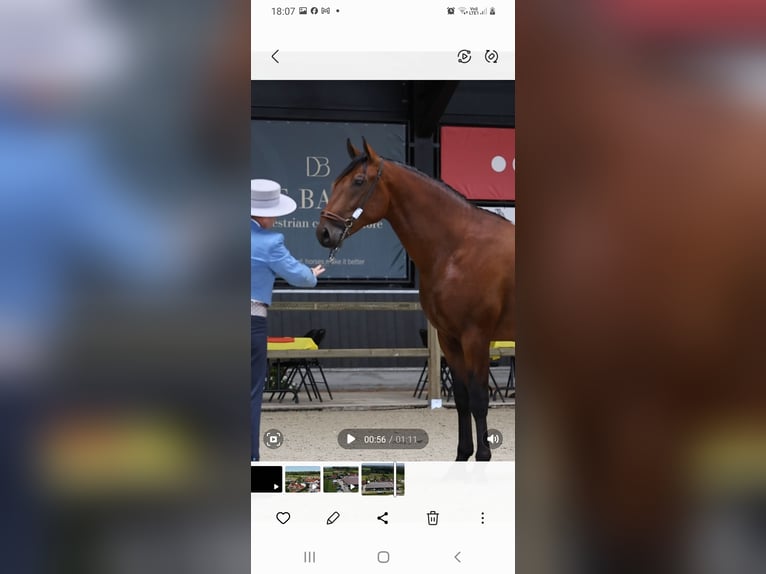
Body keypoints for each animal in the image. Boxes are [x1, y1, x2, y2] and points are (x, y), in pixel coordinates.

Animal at [316, 138, 515, 461]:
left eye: (358, 181)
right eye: (335, 183)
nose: (324, 232)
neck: (457, 248)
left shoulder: (476, 337)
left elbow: (478, 399)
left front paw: (483, 457)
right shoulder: (449, 338)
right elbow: (461, 399)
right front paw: (463, 455)